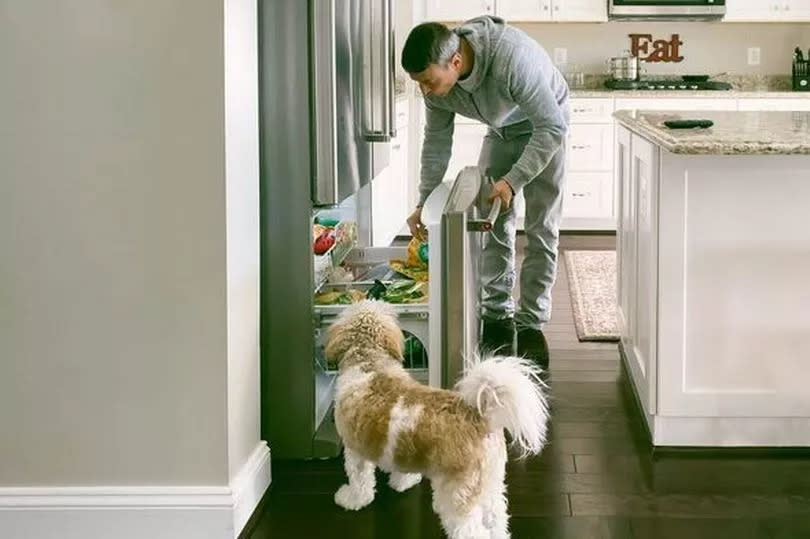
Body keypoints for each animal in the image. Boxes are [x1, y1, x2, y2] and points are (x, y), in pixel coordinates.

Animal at [324, 302, 548, 536]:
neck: (370, 363)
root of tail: (477, 415)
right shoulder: (400, 449)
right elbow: (402, 469)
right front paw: (404, 482)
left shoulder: (355, 451)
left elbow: (360, 482)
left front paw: (351, 499)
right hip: (491, 484)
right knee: (496, 520)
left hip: (457, 496)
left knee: (471, 530)